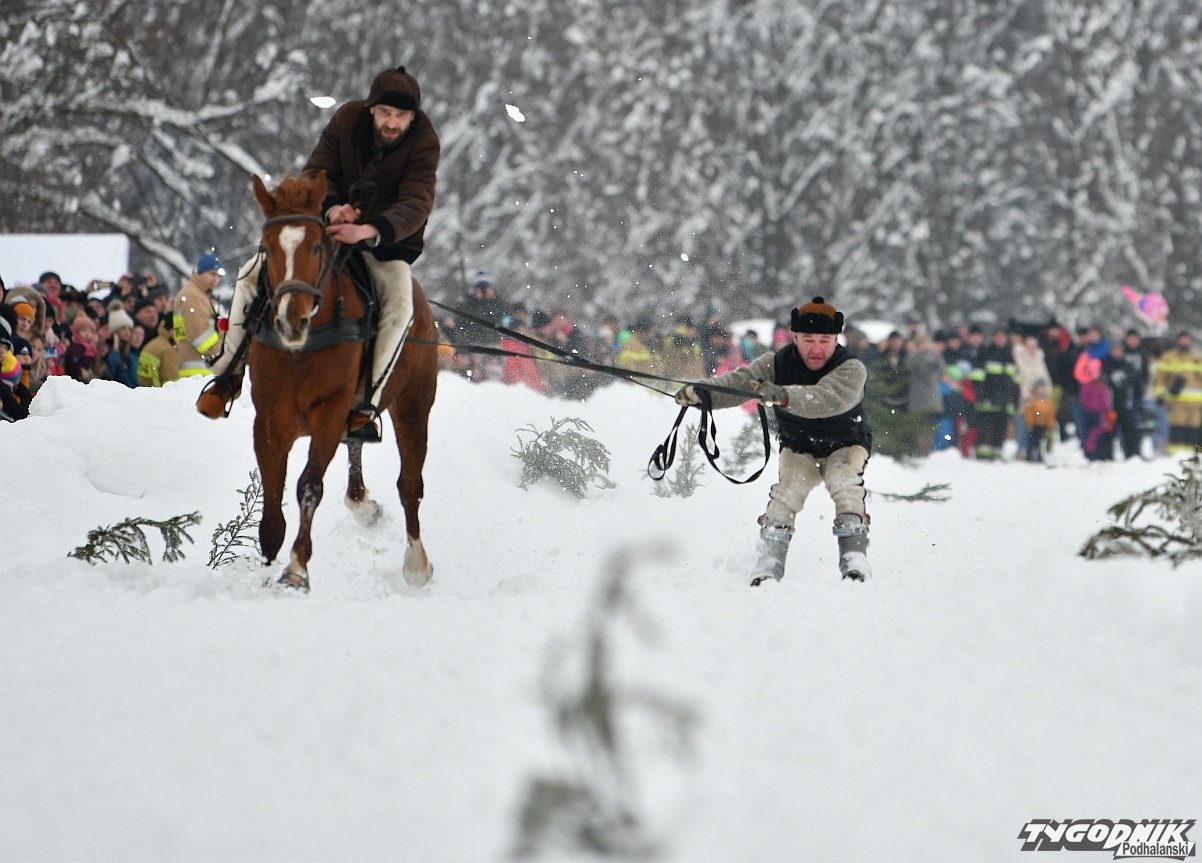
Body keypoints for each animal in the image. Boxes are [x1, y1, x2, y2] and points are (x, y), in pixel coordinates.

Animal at [246, 171, 438, 592]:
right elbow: (272, 497)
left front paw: (297, 568)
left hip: (413, 405)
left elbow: (308, 486)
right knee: (357, 450)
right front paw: (265, 565)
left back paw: (416, 564)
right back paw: (363, 504)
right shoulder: (269, 421)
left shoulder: (328, 414)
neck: (302, 349)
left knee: (410, 484)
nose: (291, 320)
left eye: (318, 245)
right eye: (267, 248)